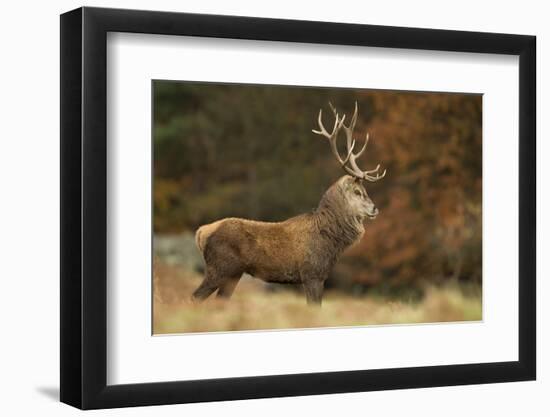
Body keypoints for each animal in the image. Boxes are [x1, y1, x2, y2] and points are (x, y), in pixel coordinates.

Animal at [194, 102, 388, 304]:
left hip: (233, 274)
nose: (375, 208)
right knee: (194, 297)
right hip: (220, 268)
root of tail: (201, 233)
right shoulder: (312, 274)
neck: (330, 242)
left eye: (366, 191)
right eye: (358, 192)